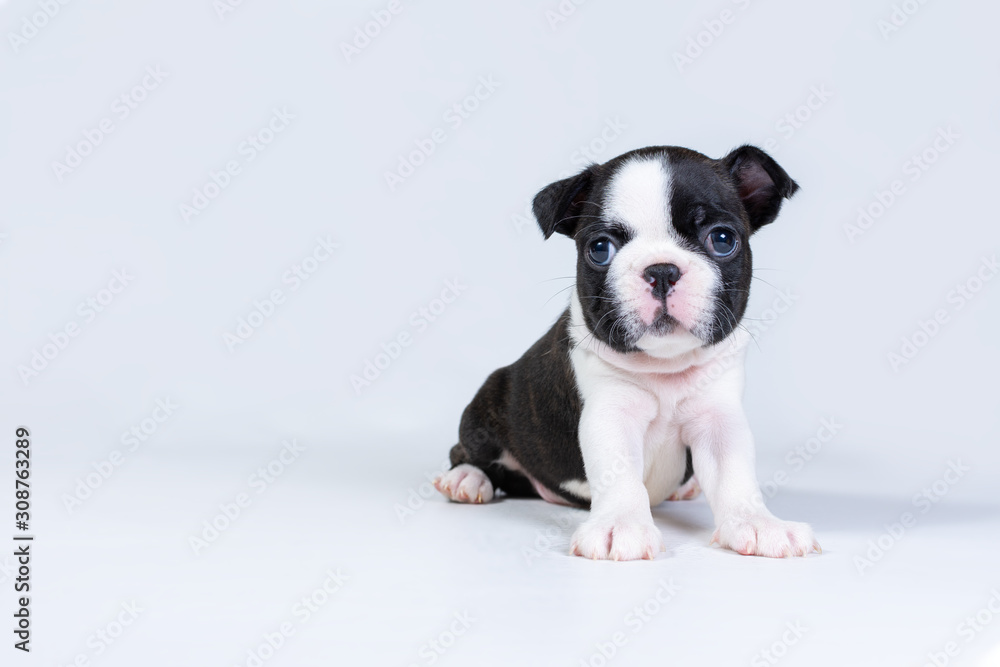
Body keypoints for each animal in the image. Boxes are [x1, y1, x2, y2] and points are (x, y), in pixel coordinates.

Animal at [432, 144, 820, 560]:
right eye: (600, 249)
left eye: (722, 239)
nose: (662, 270)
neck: (666, 367)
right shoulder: (609, 414)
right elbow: (620, 475)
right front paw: (621, 526)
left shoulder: (719, 418)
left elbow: (734, 473)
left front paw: (760, 524)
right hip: (490, 400)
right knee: (468, 451)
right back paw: (467, 479)